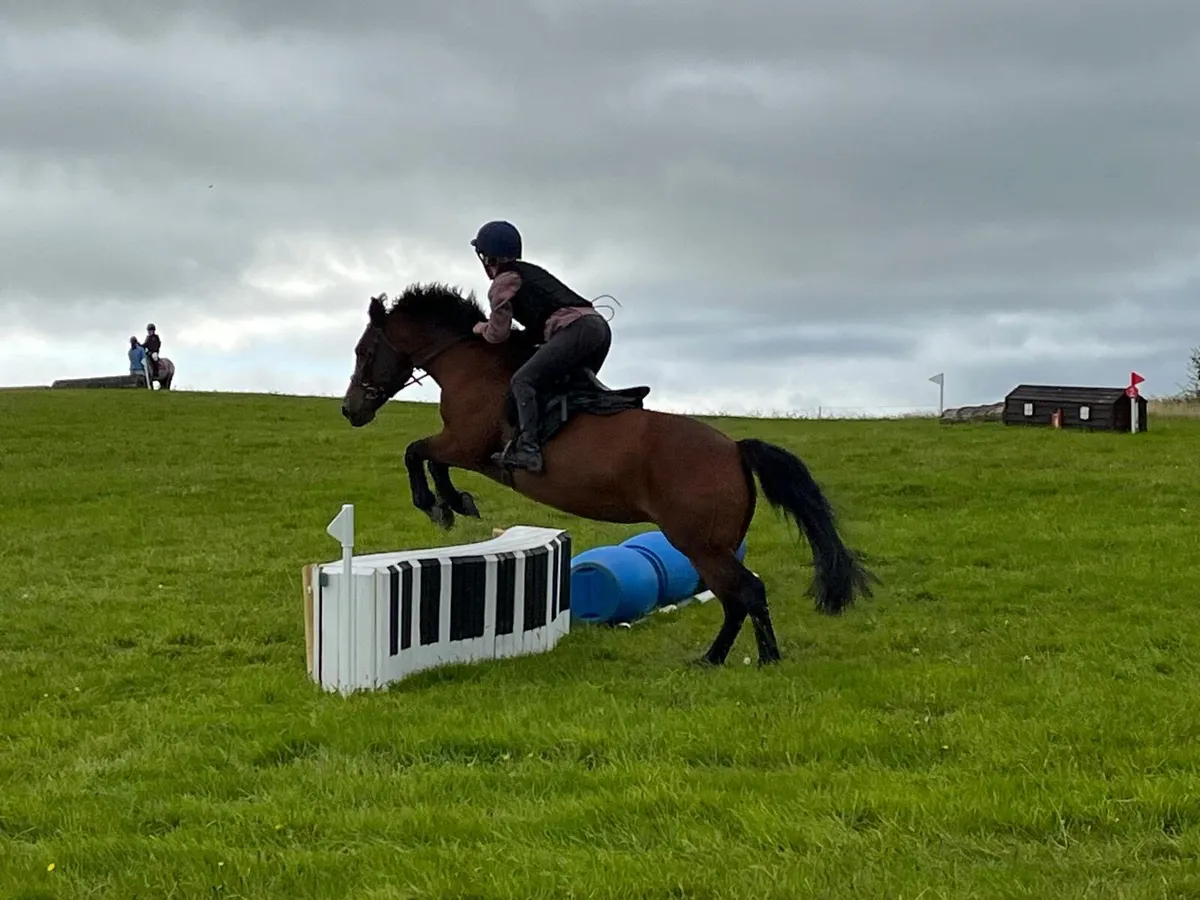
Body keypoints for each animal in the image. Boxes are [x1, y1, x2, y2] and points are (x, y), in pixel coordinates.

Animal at [340, 283, 877, 667]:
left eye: (365, 351)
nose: (349, 410)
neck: (471, 366)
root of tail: (735, 449)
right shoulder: (464, 449)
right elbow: (429, 459)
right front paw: (455, 504)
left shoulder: (467, 444)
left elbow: (417, 453)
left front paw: (439, 506)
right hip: (711, 545)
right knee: (737, 598)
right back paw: (726, 659)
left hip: (697, 542)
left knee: (745, 593)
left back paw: (748, 659)